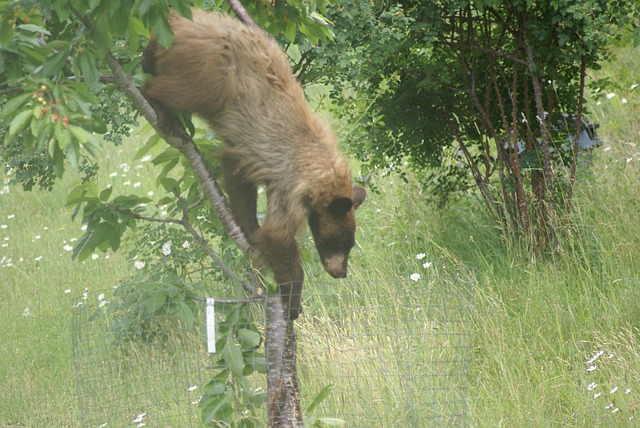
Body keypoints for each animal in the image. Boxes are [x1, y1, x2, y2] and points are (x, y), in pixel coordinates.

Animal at [141, 9, 366, 320]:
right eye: (340, 241)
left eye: (350, 243)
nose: (341, 272)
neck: (322, 166)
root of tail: (182, 18)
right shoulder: (292, 185)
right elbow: (277, 235)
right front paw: (293, 300)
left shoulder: (254, 162)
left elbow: (237, 176)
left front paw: (247, 227)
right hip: (212, 72)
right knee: (178, 89)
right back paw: (160, 106)